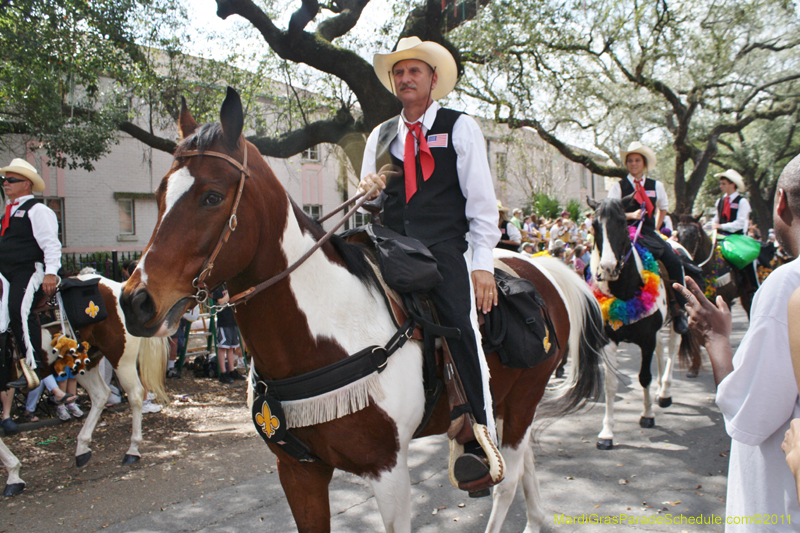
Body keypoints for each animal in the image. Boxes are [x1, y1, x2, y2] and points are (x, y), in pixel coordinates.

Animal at [119, 89, 608, 532]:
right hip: (507, 404)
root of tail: (541, 267)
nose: (134, 301)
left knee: (507, 481)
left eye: (212, 196)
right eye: (160, 194)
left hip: (524, 400)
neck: (325, 331)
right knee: (525, 467)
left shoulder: (387, 470)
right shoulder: (299, 472)